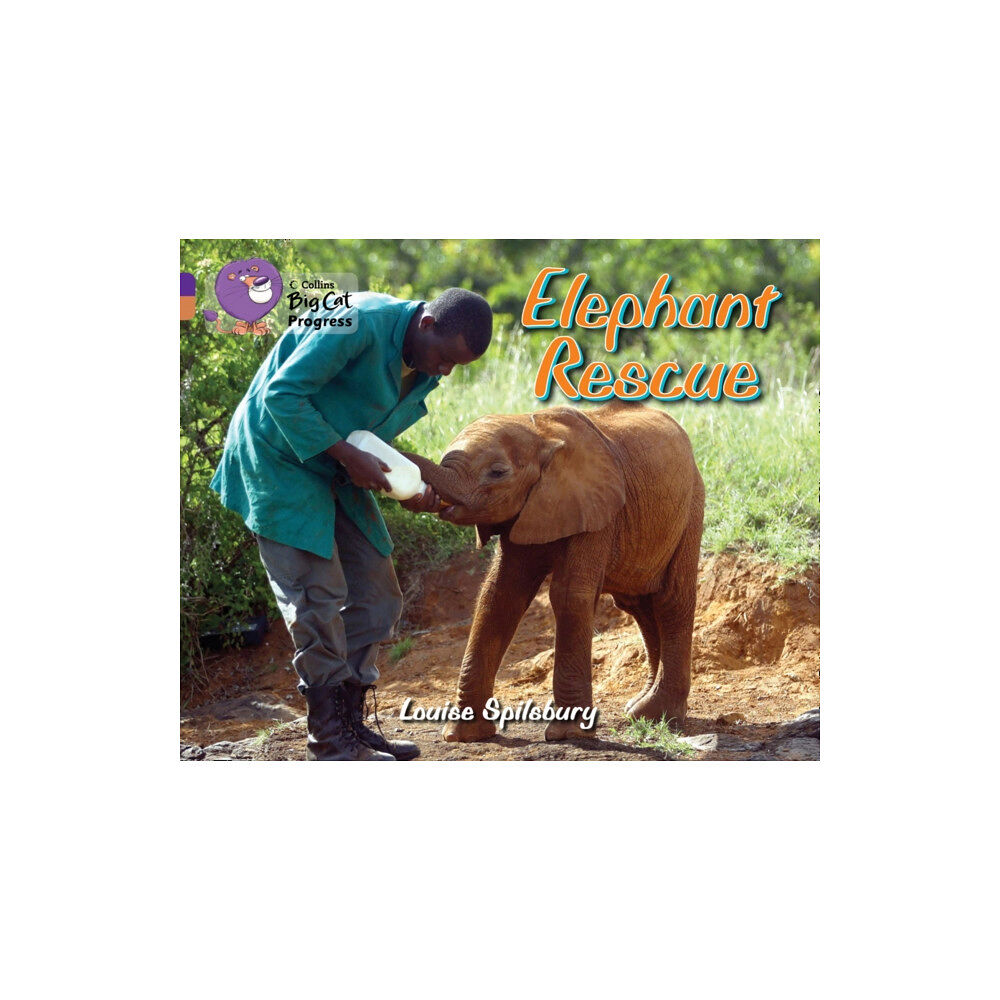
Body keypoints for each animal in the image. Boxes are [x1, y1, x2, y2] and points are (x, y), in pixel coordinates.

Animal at [404, 402, 704, 743]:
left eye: (497, 472)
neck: (540, 434)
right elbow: (499, 596)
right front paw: (463, 736)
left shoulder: (597, 509)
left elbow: (569, 595)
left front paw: (568, 734)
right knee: (639, 605)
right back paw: (639, 709)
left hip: (691, 506)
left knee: (670, 600)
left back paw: (657, 714)